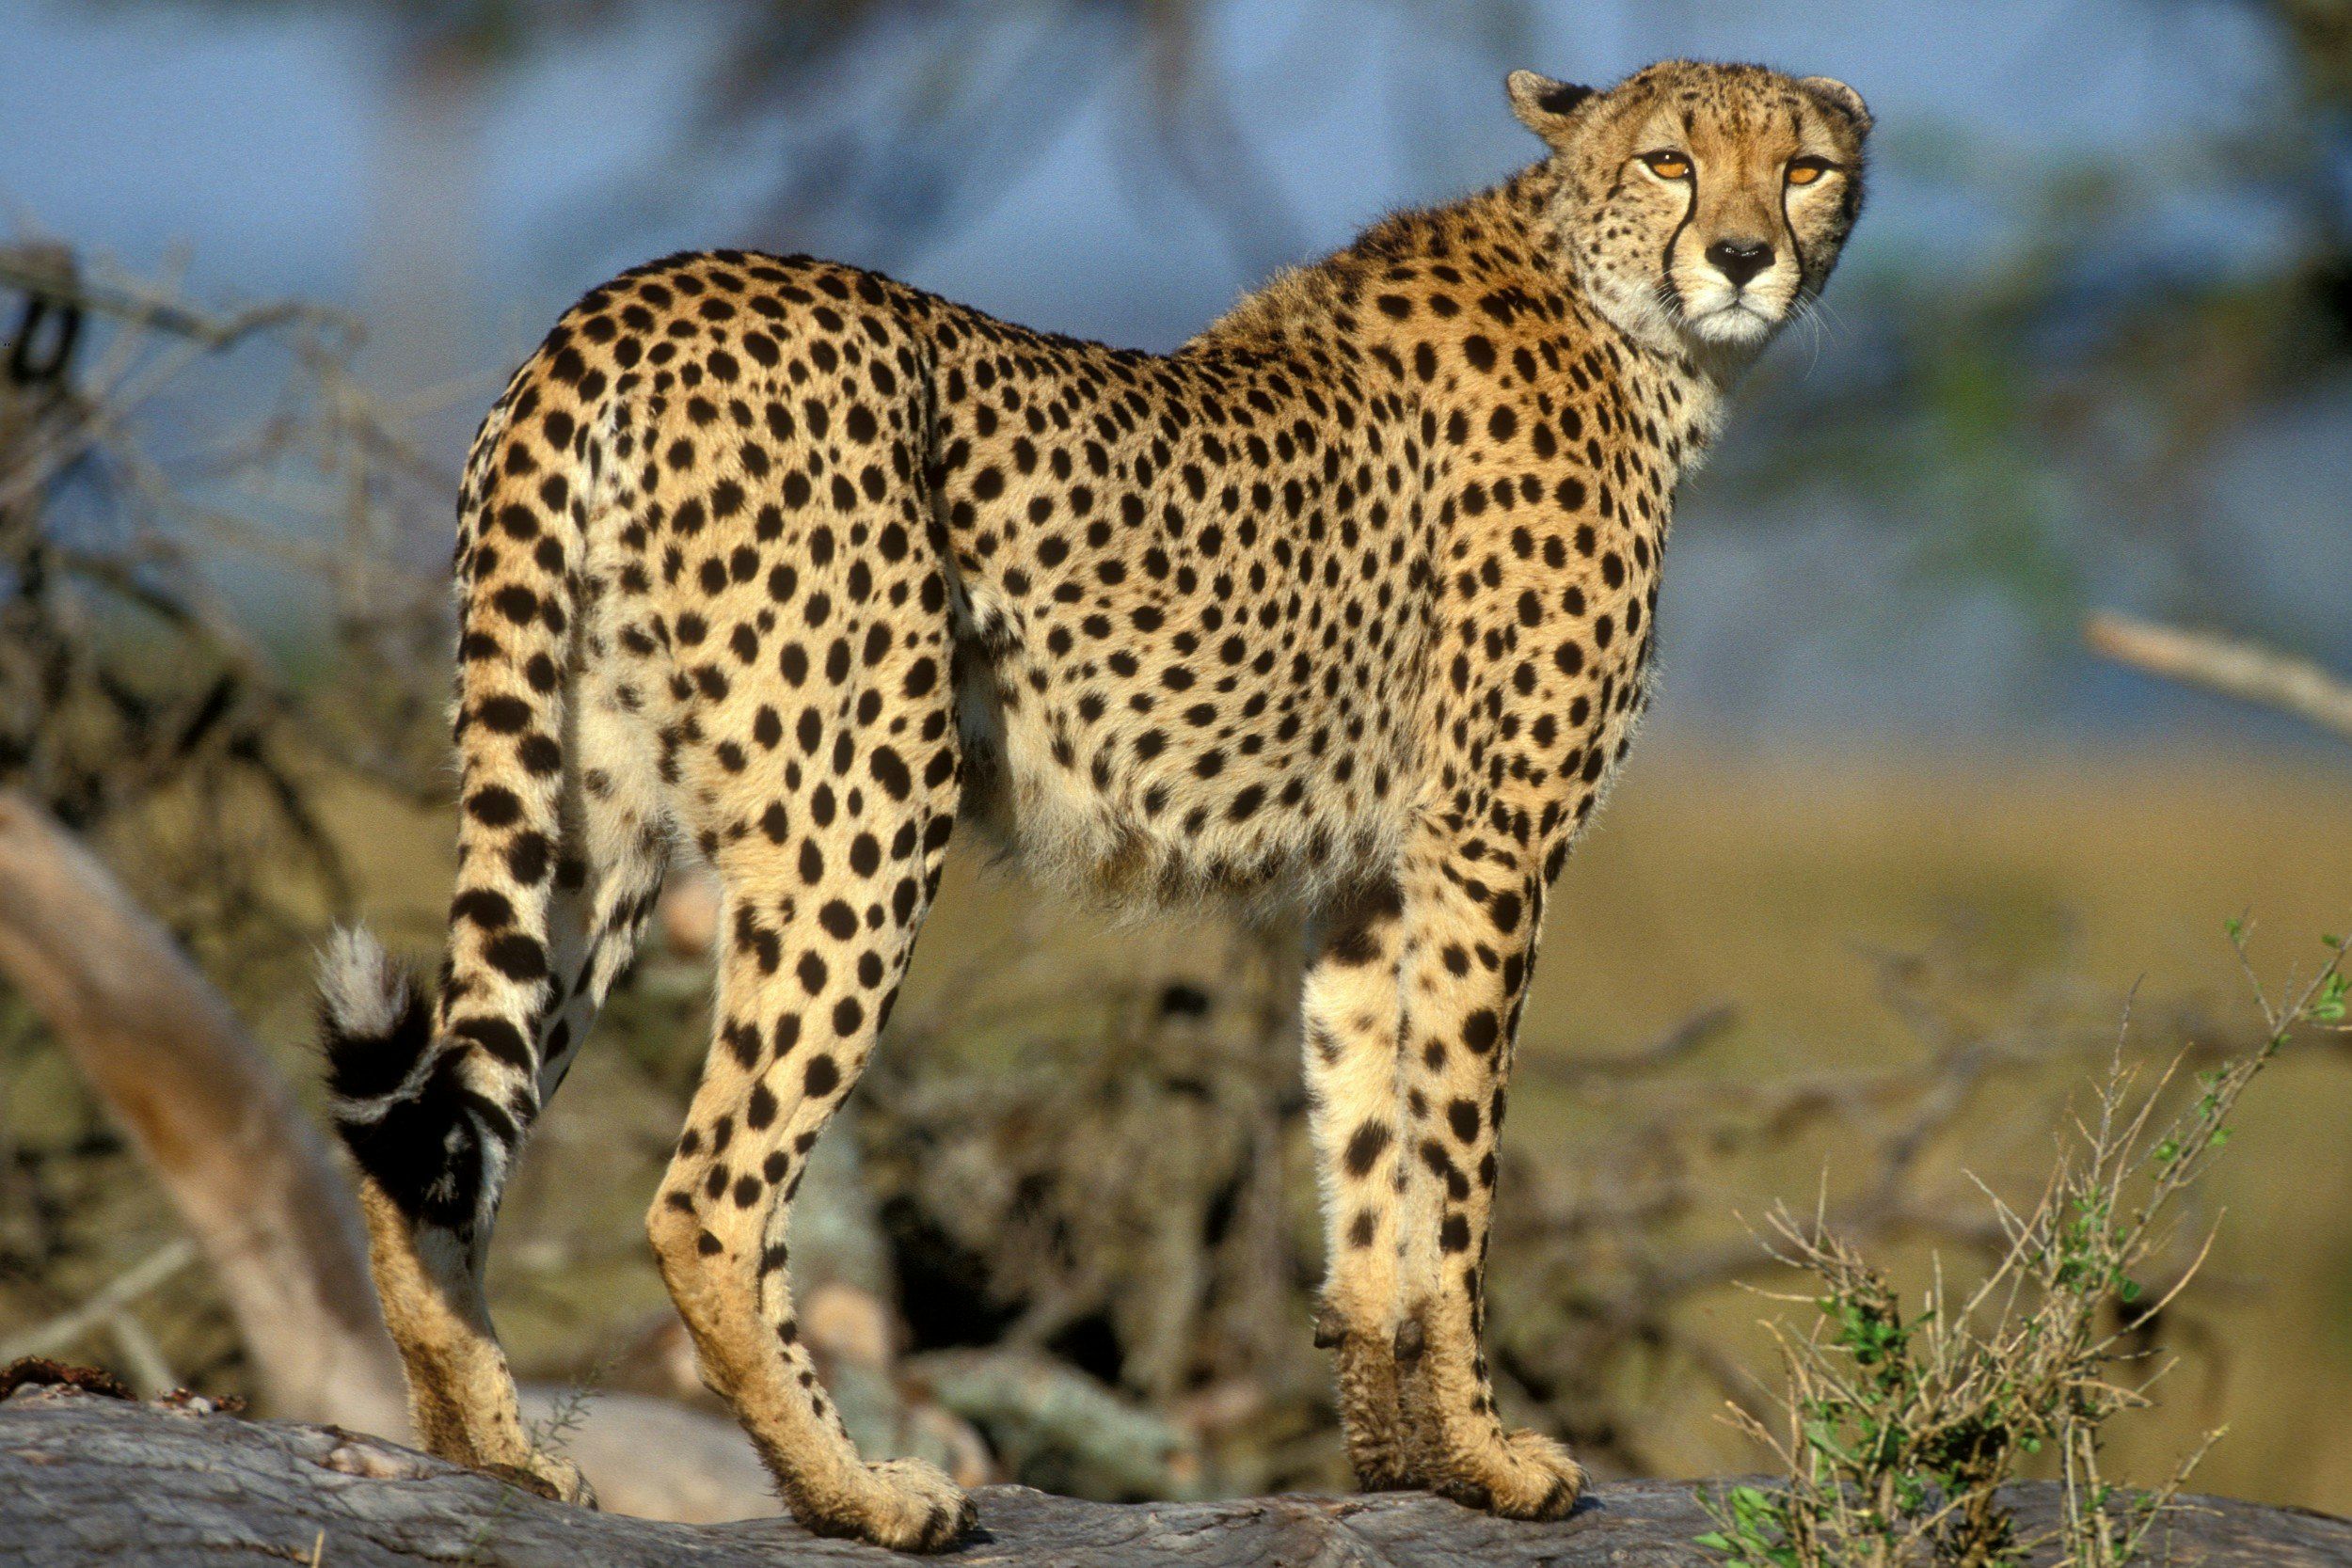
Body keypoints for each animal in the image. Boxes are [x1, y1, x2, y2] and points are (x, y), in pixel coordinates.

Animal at [322, 57, 1863, 1542]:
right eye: (1669, 159)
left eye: (1803, 167)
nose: (1740, 256)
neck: (1626, 321)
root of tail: (627, 302)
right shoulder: (1489, 845)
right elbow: (1457, 1173)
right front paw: (1491, 1455)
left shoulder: (1372, 876)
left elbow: (1369, 1155)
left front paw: (1403, 1454)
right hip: (867, 795)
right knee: (707, 1196)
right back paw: (857, 1489)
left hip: (592, 816)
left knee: (442, 1138)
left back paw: (491, 1454)